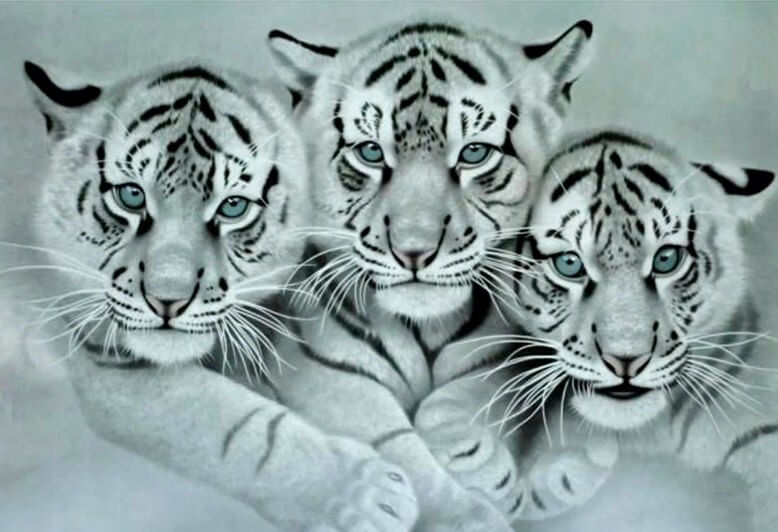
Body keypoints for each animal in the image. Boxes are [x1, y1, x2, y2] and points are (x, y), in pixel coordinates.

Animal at [22, 60, 419, 532]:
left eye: (233, 207)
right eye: (131, 196)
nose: (168, 299)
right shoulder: (112, 361)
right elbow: (237, 425)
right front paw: (368, 495)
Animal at [261, 17, 597, 530]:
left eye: (475, 153)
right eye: (370, 152)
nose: (414, 250)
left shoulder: (502, 355)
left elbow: (471, 396)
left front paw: (480, 458)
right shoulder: (331, 376)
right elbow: (402, 453)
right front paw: (471, 511)